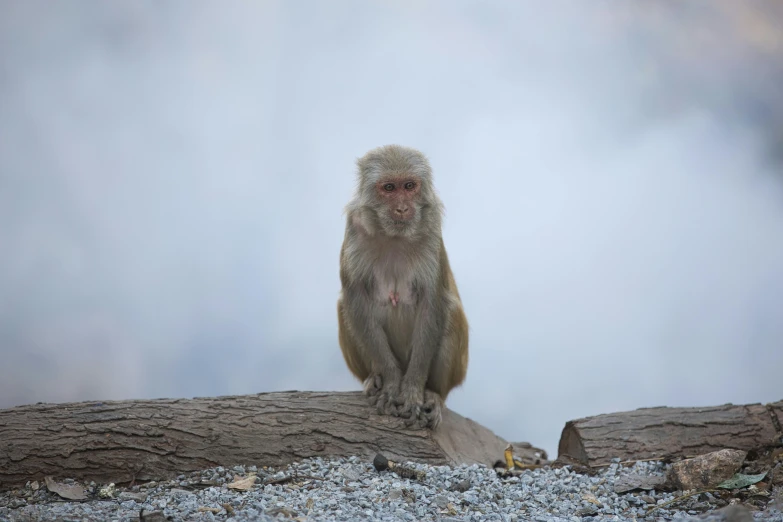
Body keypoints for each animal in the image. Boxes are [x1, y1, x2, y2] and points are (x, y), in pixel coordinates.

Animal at [336, 143, 468, 426]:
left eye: (409, 186)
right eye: (389, 188)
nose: (402, 209)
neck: (393, 235)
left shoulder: (431, 230)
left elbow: (433, 302)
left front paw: (412, 391)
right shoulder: (354, 227)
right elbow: (355, 299)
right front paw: (390, 381)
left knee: (450, 310)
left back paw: (435, 395)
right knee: (344, 306)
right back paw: (373, 379)